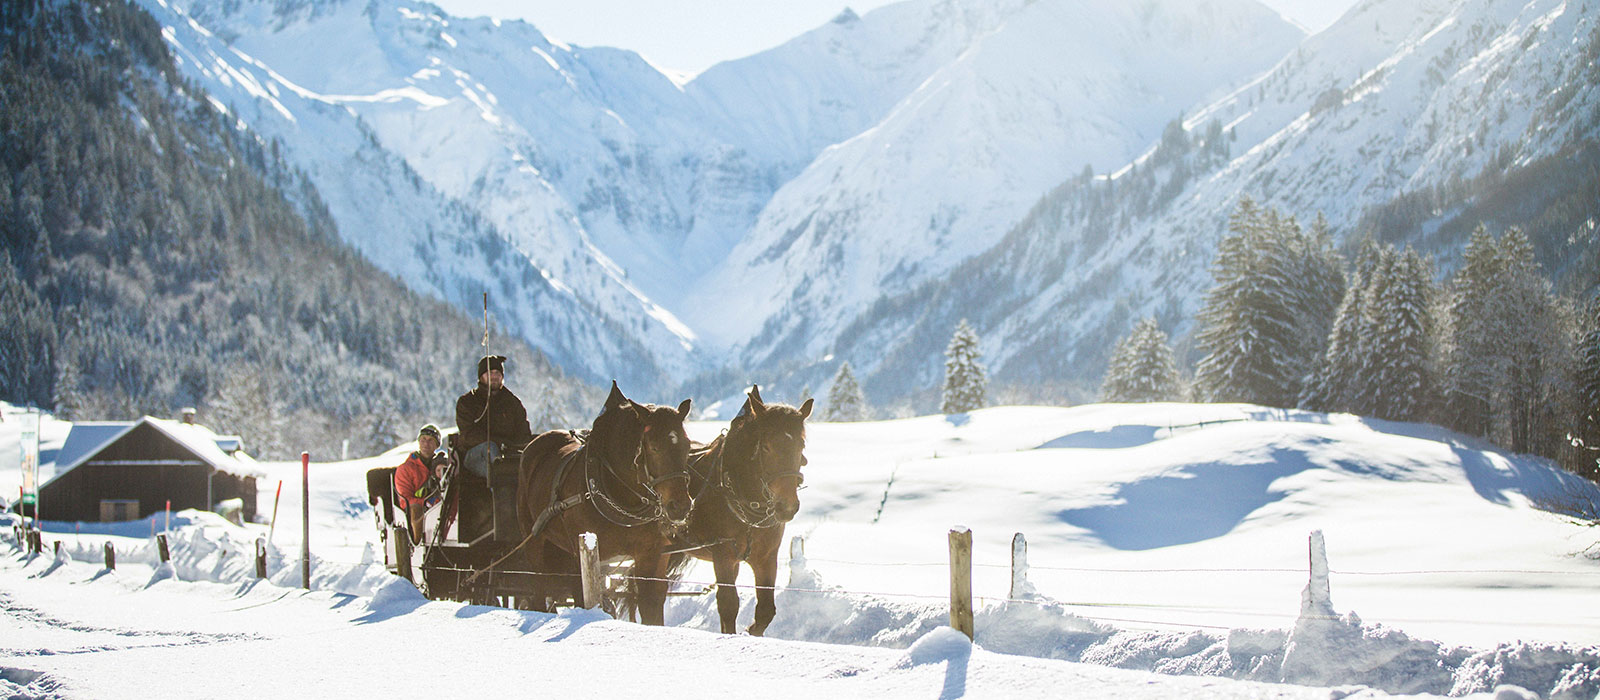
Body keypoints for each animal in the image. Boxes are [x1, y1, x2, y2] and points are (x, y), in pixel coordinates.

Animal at [512, 380, 688, 626]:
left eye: (688, 445)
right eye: (654, 447)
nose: (680, 506)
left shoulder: (650, 554)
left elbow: (649, 606)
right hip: (536, 544)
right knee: (541, 588)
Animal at [672, 385, 812, 636]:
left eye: (801, 446)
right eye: (766, 446)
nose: (786, 506)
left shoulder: (766, 557)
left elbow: (765, 610)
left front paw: (752, 631)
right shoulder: (723, 555)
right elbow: (728, 604)